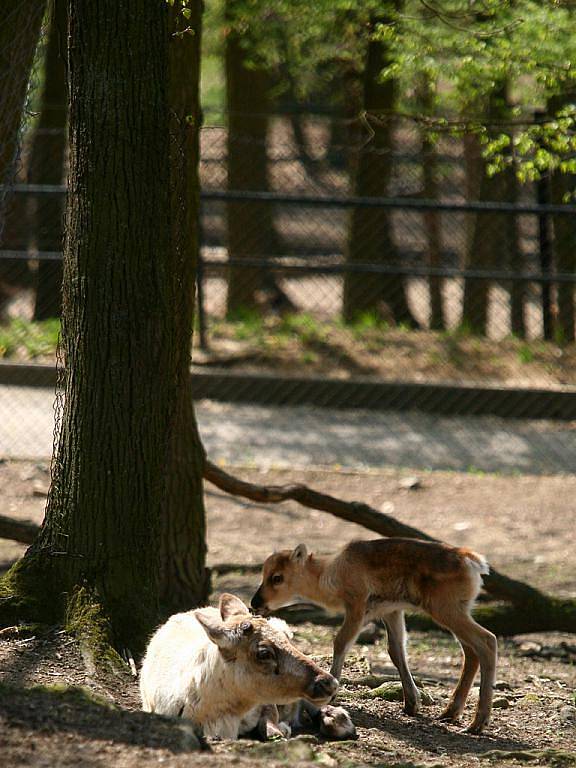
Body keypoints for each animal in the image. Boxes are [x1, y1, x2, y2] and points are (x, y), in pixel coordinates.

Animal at [252, 536, 500, 736]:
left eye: (277, 577)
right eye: (263, 574)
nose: (255, 603)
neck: (330, 573)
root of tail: (473, 561)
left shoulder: (357, 606)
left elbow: (341, 642)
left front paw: (331, 694)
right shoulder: (391, 611)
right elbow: (396, 651)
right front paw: (412, 704)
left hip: (447, 610)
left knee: (487, 641)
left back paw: (477, 724)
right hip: (456, 612)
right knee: (471, 652)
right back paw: (450, 713)